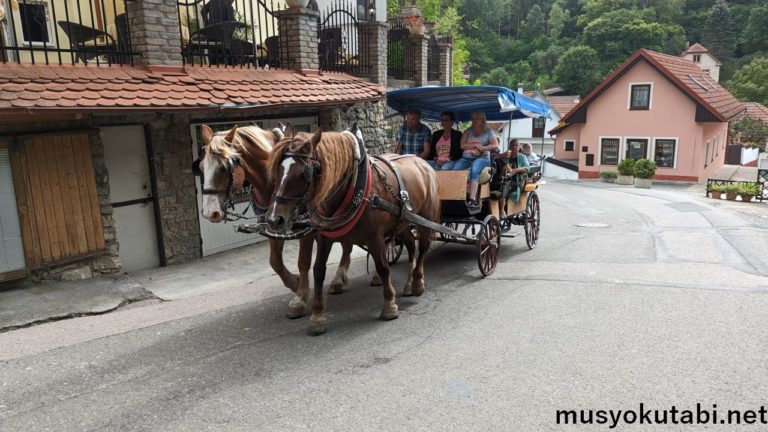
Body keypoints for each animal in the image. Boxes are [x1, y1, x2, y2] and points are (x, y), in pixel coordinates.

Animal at [192, 124, 358, 318]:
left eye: (224, 168)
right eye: (201, 167)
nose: (210, 213)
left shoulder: (306, 228)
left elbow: (303, 262)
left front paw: (300, 296)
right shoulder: (273, 224)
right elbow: (275, 262)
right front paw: (295, 283)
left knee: (346, 243)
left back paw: (339, 277)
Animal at [265, 124, 440, 335]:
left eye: (303, 173)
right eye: (277, 169)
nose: (274, 219)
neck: (354, 185)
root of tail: (423, 162)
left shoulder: (375, 238)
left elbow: (383, 268)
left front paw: (389, 305)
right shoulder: (324, 237)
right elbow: (318, 270)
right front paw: (317, 316)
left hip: (425, 219)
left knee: (422, 247)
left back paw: (417, 282)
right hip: (402, 222)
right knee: (410, 245)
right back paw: (408, 283)